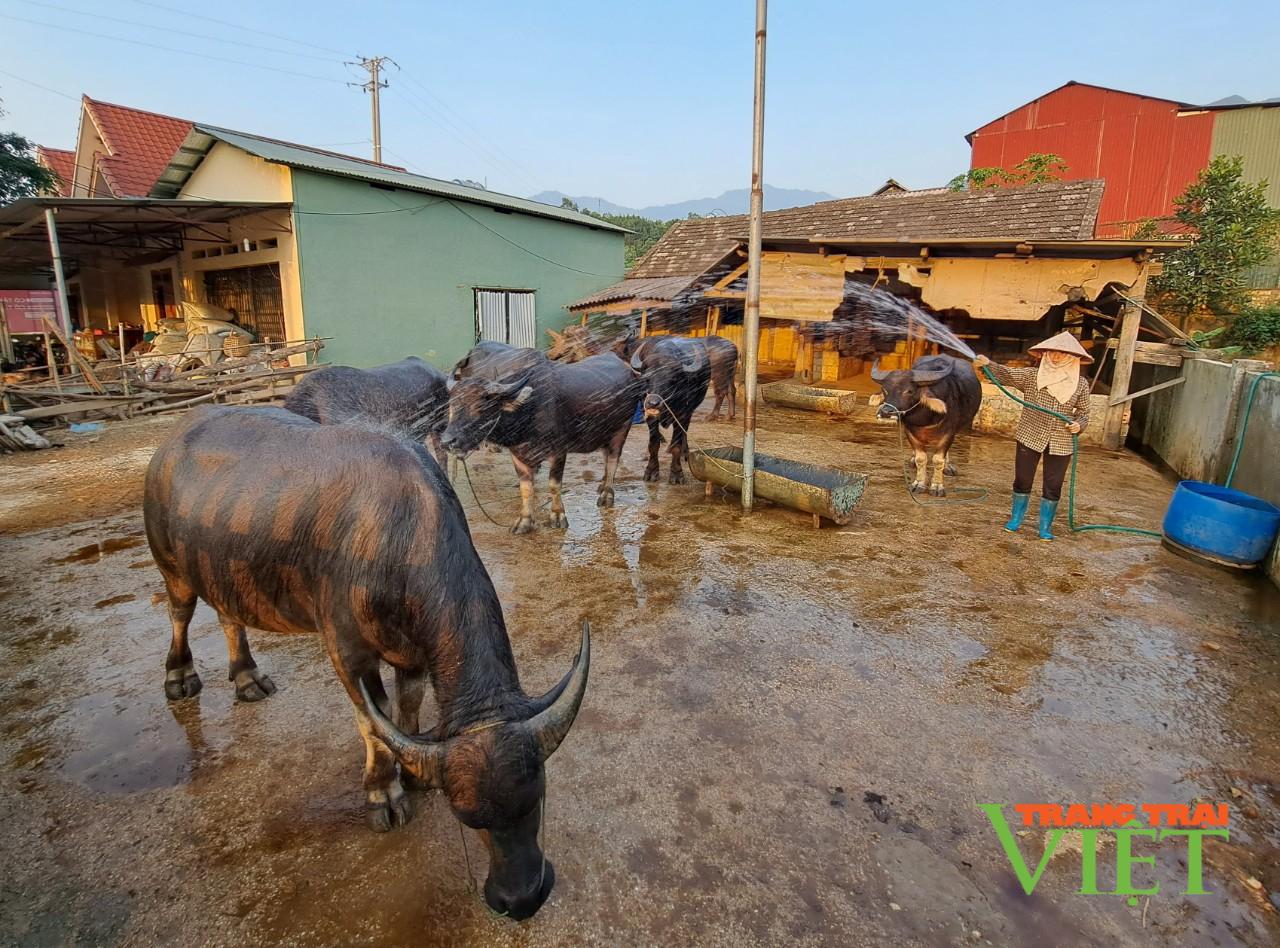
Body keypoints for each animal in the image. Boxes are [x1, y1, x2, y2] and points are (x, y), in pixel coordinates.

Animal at [145, 406, 588, 916]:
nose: (522, 897)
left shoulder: (413, 653)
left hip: (225, 570)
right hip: (171, 566)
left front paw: (411, 769)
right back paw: (180, 675)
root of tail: (169, 444)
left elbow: (408, 704)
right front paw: (384, 792)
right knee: (181, 612)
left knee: (227, 614)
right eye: (468, 817)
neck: (397, 537)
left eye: (536, 798)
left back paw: (247, 678)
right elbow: (373, 721)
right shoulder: (348, 650)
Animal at [445, 340, 645, 532]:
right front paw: (525, 521)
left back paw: (607, 495)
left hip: (621, 429)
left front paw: (557, 516)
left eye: (480, 407)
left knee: (613, 460)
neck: (529, 411)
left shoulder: (558, 451)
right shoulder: (517, 454)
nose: (448, 440)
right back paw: (602, 485)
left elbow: (554, 484)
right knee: (606, 457)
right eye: (451, 405)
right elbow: (526, 488)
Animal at [627, 332, 711, 483]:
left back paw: (685, 451)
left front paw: (677, 474)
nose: (653, 403)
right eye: (647, 378)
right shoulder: (650, 417)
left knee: (684, 432)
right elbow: (653, 444)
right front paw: (651, 471)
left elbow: (677, 445)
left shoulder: (682, 414)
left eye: (673, 380)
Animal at [870, 350, 977, 496]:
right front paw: (919, 484)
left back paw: (947, 467)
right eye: (884, 390)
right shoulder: (910, 431)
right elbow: (921, 458)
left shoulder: (949, 433)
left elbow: (938, 459)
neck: (926, 419)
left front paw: (937, 486)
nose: (886, 412)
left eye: (909, 391)